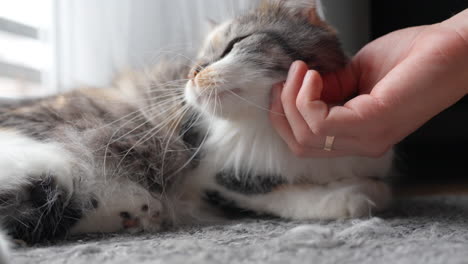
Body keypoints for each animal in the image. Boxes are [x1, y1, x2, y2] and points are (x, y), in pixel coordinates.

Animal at [0, 0, 394, 254]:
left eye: (234, 45)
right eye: (198, 59)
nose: (194, 72)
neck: (263, 127)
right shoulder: (205, 173)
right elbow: (269, 194)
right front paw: (348, 196)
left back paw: (137, 212)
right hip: (54, 163)